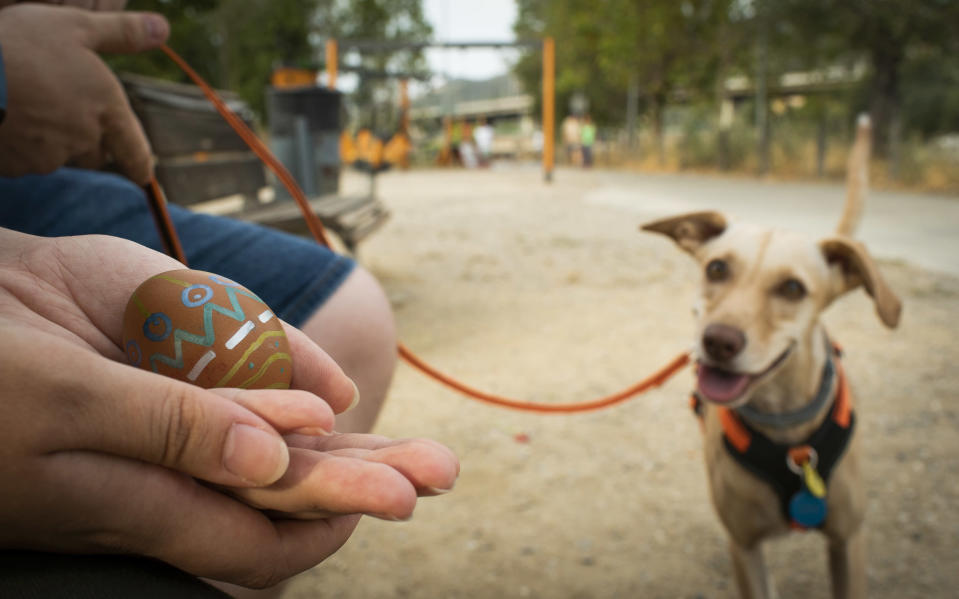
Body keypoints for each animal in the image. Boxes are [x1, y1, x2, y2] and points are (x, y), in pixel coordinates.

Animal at [644, 118, 900, 599]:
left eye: (793, 288)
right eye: (717, 268)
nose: (718, 341)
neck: (785, 428)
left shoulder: (848, 540)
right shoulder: (743, 545)